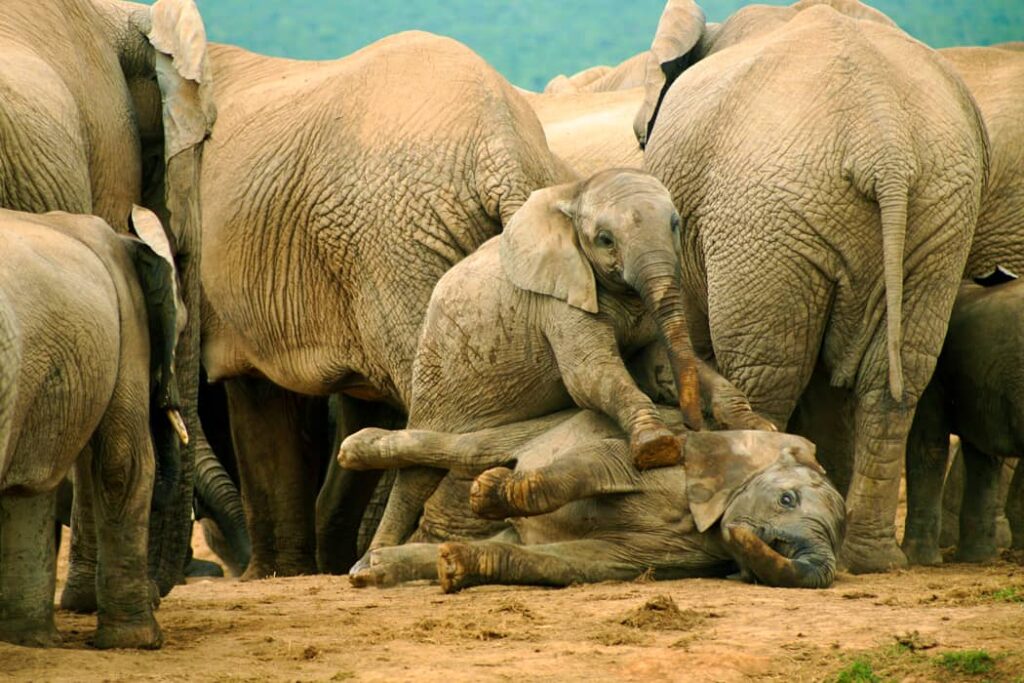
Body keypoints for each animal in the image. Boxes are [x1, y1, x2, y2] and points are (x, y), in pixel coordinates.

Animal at [0, 206, 181, 648]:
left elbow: (31, 485)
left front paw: (32, 642)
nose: (156, 595)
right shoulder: (130, 320)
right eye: (183, 325)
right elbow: (124, 462)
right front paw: (141, 643)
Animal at [341, 407, 845, 591]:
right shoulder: (673, 453)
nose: (747, 534)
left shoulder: (685, 552)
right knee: (470, 448)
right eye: (786, 499)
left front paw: (455, 566)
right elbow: (599, 462)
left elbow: (583, 563)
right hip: (552, 421)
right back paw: (355, 448)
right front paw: (487, 492)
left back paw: (372, 570)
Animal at [637, 0, 989, 573]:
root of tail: (885, 145)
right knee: (896, 376)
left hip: (764, 216)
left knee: (767, 372)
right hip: (937, 213)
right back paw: (868, 559)